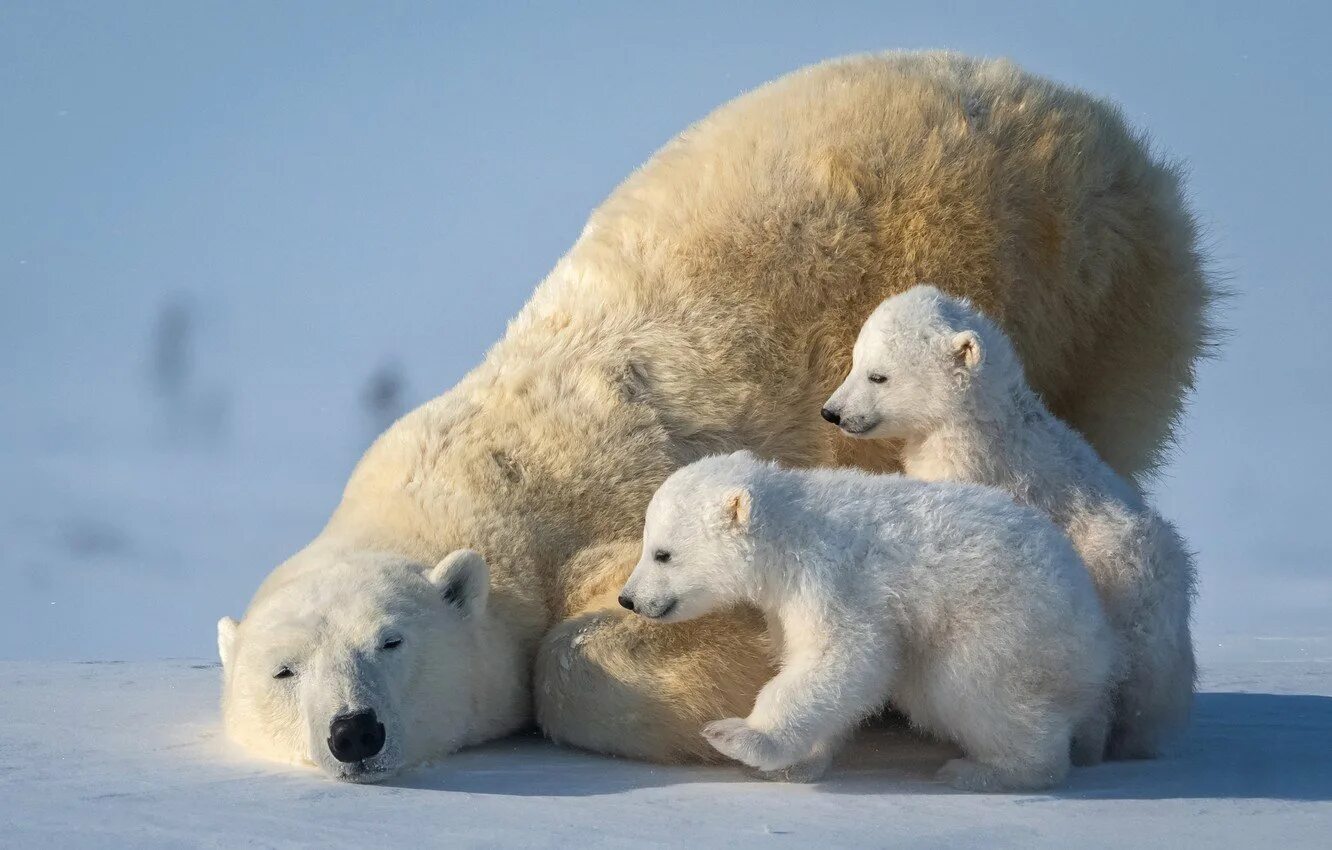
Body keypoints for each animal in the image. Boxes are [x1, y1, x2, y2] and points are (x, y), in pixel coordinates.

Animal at [618, 455, 1118, 794]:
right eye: (647, 544)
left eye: (662, 553)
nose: (628, 598)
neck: (790, 531)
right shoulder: (786, 603)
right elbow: (814, 664)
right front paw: (800, 764)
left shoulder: (833, 578)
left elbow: (844, 656)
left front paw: (738, 736)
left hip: (1004, 621)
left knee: (972, 689)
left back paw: (988, 770)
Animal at [820, 286, 1198, 756]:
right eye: (855, 362)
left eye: (878, 376)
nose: (832, 412)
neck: (982, 424)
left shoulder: (973, 469)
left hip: (1122, 587)